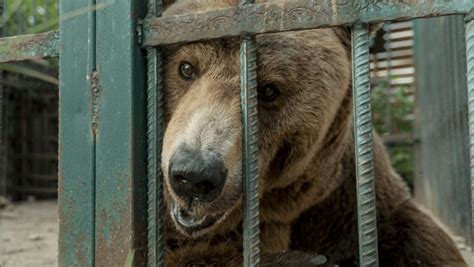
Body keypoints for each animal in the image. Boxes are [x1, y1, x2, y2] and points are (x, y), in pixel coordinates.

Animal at [158, 1, 466, 266]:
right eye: (186, 68)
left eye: (268, 90)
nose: (194, 175)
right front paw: (309, 261)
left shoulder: (346, 197)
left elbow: (419, 237)